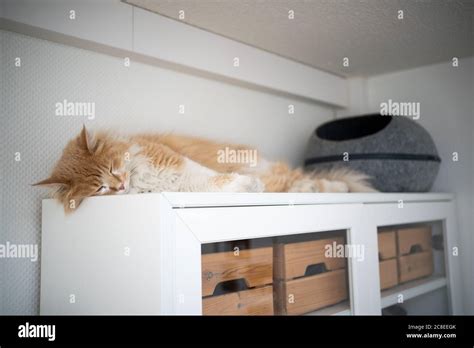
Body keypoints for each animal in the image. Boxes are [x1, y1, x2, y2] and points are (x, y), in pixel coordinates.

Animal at [34, 125, 374, 212]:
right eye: (100, 189)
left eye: (114, 168)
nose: (120, 187)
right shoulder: (180, 183)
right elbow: (216, 184)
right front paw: (247, 186)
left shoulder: (174, 162)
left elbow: (212, 177)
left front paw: (249, 185)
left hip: (271, 170)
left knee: (312, 180)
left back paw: (338, 188)